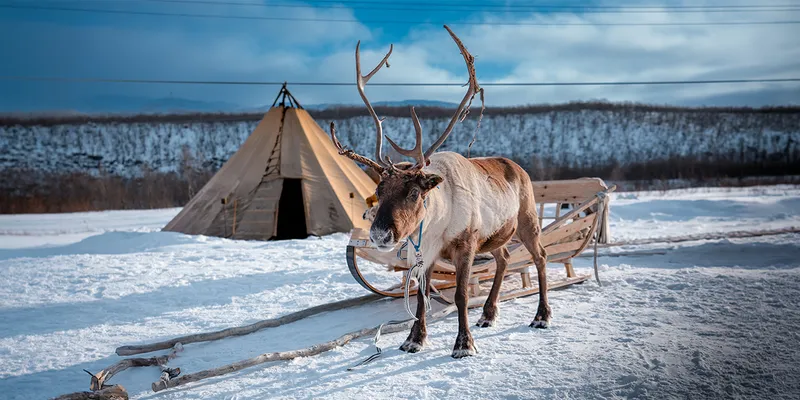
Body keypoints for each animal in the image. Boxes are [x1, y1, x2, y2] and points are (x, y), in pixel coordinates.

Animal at [328, 25, 552, 359]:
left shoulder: (466, 244)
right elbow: (421, 296)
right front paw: (414, 339)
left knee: (540, 257)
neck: (437, 223)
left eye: (413, 192)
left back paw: (541, 316)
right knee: (504, 258)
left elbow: (460, 295)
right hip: (495, 235)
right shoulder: (424, 254)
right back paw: (488, 314)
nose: (380, 235)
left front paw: (463, 344)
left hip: (526, 220)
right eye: (379, 189)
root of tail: (518, 167)